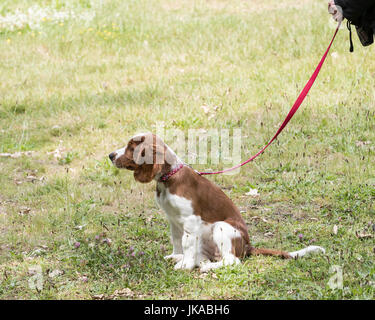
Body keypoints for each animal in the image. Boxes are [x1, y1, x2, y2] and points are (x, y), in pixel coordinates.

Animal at [109, 131, 326, 272]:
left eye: (131, 147)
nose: (110, 155)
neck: (169, 178)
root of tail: (247, 247)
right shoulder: (173, 220)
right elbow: (177, 239)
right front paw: (176, 256)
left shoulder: (190, 220)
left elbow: (187, 242)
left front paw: (185, 264)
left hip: (222, 227)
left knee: (232, 260)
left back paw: (208, 267)